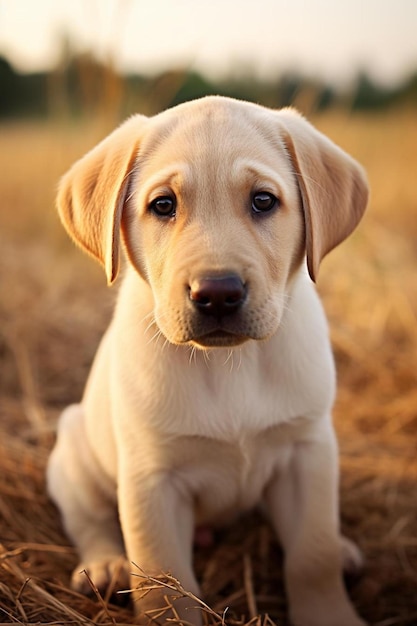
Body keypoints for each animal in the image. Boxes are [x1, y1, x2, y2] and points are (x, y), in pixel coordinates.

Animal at [47, 94, 368, 624]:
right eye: (163, 205)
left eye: (263, 201)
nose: (217, 293)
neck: (228, 365)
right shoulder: (151, 480)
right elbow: (164, 585)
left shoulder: (309, 451)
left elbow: (312, 554)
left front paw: (330, 612)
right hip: (73, 453)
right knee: (89, 519)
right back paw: (105, 566)